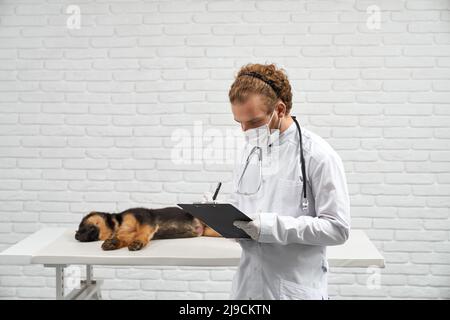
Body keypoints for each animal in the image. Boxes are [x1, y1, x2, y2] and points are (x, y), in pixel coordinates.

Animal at [74, 206, 221, 251]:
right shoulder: (128, 232)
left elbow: (142, 233)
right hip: (211, 232)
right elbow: (124, 238)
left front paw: (138, 243)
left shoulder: (145, 219)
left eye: (81, 225)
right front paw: (113, 242)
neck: (118, 223)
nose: (76, 235)